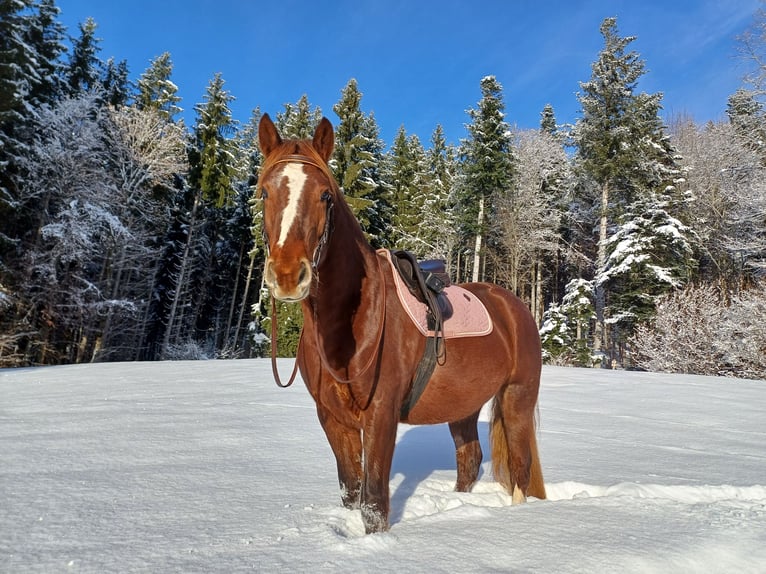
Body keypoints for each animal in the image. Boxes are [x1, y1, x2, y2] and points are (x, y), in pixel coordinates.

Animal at [258, 113, 544, 536]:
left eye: (325, 195)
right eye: (264, 193)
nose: (289, 276)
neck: (348, 323)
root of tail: (514, 307)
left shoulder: (381, 414)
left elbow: (374, 503)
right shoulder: (333, 419)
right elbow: (351, 492)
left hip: (517, 399)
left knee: (520, 469)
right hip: (464, 406)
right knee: (470, 459)